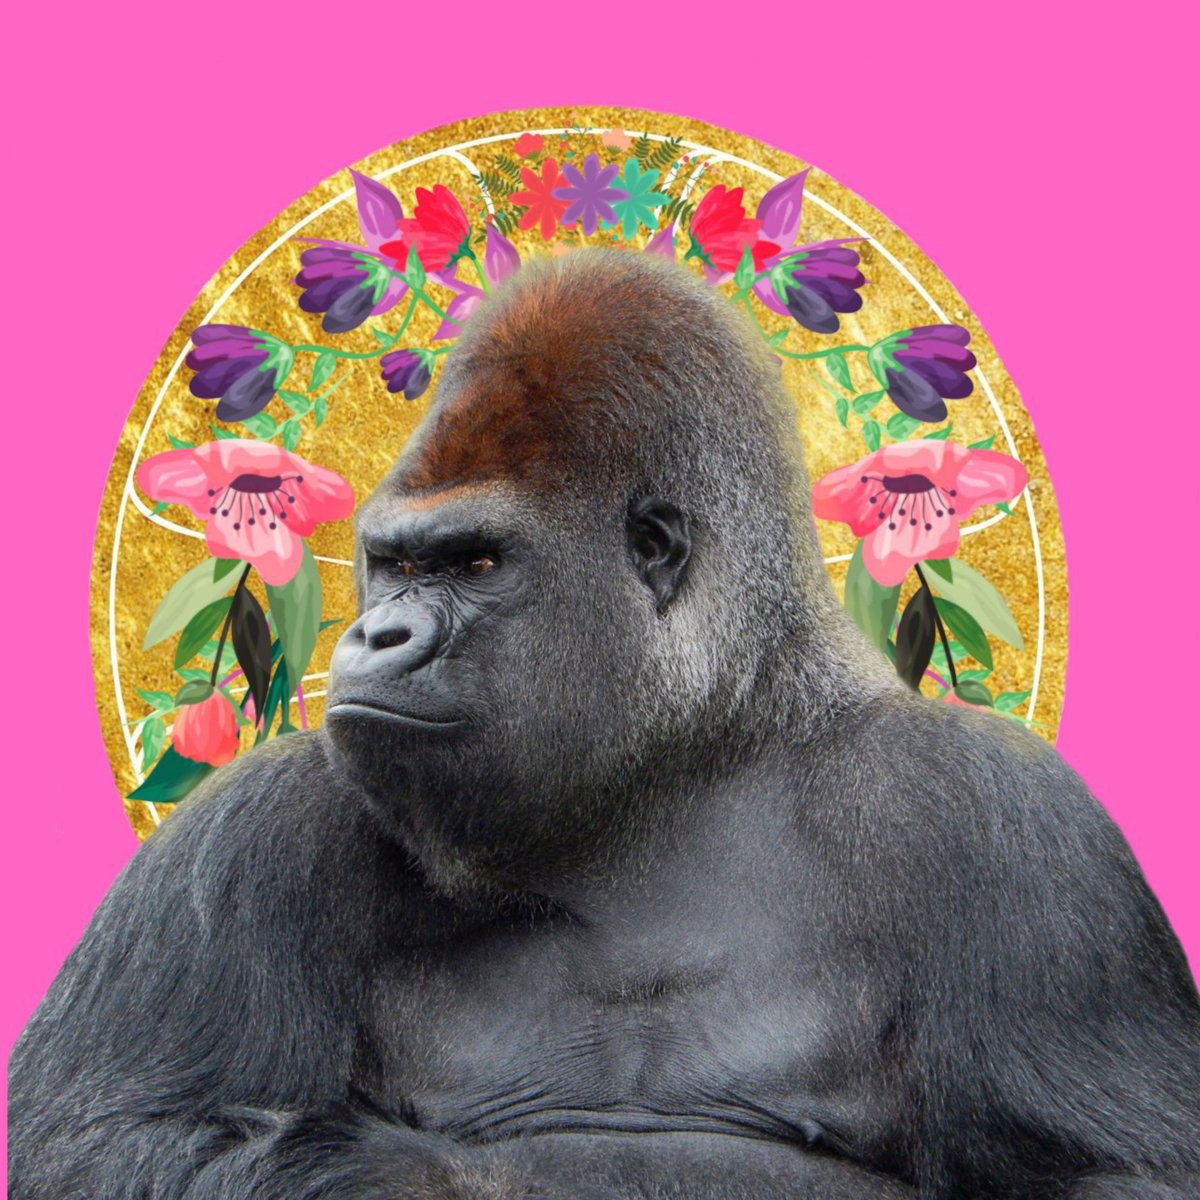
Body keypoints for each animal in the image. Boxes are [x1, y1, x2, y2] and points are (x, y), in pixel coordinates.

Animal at [9, 250, 1200, 1199]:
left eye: (475, 564)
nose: (377, 635)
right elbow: (97, 1143)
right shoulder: (252, 828)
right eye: (391, 564)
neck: (677, 763)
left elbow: (1130, 1171)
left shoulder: (1012, 829)